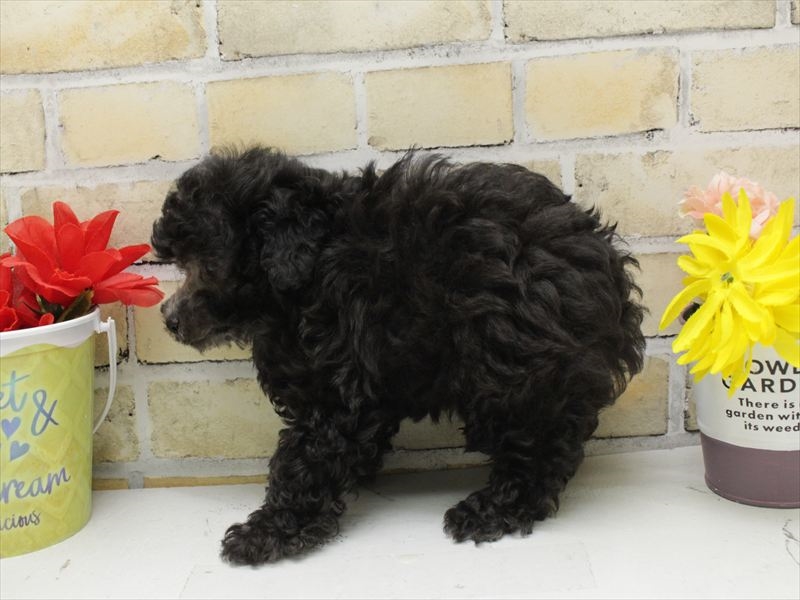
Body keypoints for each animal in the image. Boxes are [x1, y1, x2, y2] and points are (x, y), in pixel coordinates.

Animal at [151, 147, 646, 565]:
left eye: (209, 264)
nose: (168, 320)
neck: (309, 273)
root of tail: (607, 269)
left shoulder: (334, 395)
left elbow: (303, 464)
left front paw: (267, 534)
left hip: (512, 373)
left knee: (538, 450)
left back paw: (487, 512)